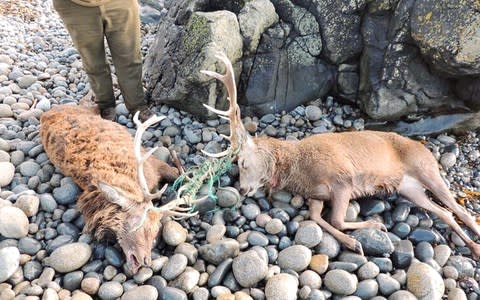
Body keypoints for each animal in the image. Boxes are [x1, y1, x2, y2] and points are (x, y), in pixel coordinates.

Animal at [39, 102, 191, 274]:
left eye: (155, 233)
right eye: (140, 226)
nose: (146, 262)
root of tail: (49, 111)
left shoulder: (154, 162)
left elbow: (179, 174)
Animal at [202, 51, 480, 255]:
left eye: (243, 162)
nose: (242, 189)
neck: (298, 171)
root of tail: (426, 149)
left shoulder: (342, 178)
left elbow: (335, 220)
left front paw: (373, 228)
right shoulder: (316, 194)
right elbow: (315, 217)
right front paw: (352, 242)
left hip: (426, 168)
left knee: (460, 210)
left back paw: (475, 245)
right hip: (409, 188)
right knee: (445, 212)